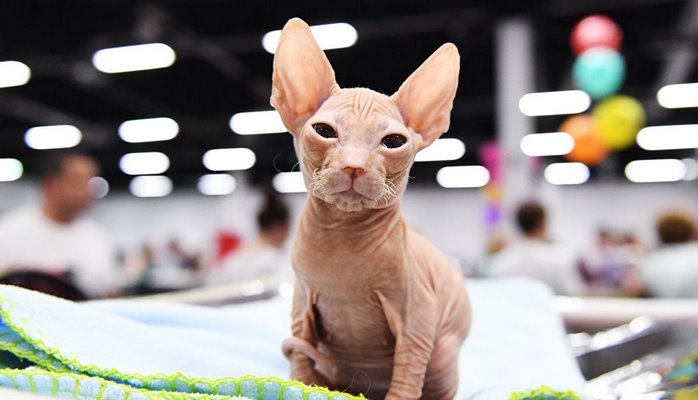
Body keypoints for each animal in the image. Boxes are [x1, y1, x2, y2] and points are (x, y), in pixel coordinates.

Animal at [270, 18, 472, 400]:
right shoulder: (301, 303)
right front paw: (300, 387)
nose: (354, 166)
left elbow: (406, 378)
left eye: (393, 141)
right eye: (324, 131)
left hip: (441, 353)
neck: (341, 241)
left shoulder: (416, 318)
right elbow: (301, 360)